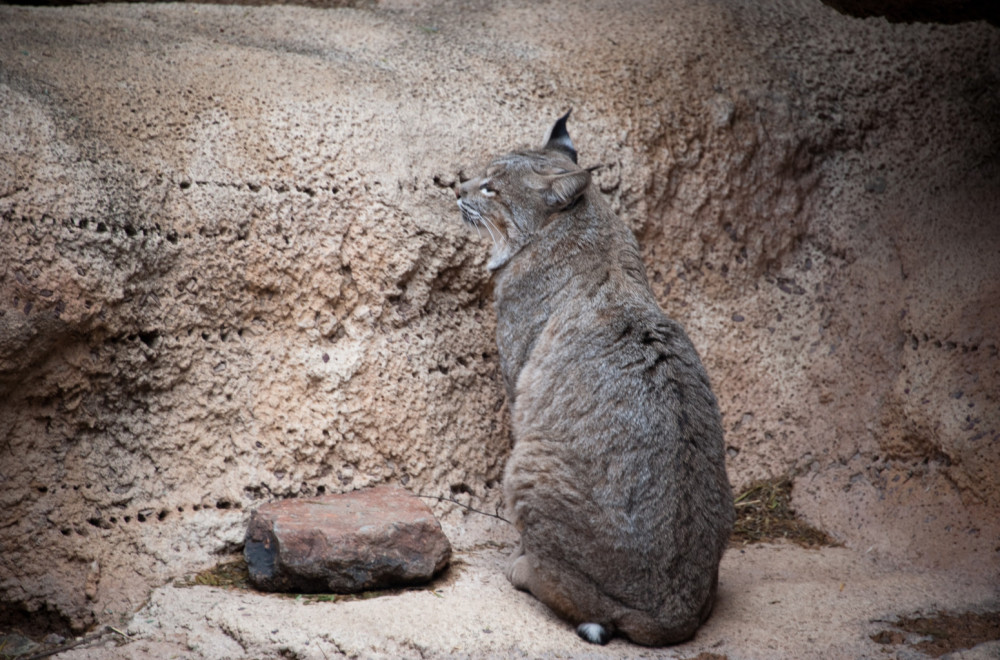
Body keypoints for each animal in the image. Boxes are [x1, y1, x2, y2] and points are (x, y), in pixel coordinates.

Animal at [456, 113, 736, 644]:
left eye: (490, 189)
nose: (456, 188)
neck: (587, 224)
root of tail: (673, 614)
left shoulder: (518, 378)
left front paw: (518, 555)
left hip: (528, 462)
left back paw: (526, 571)